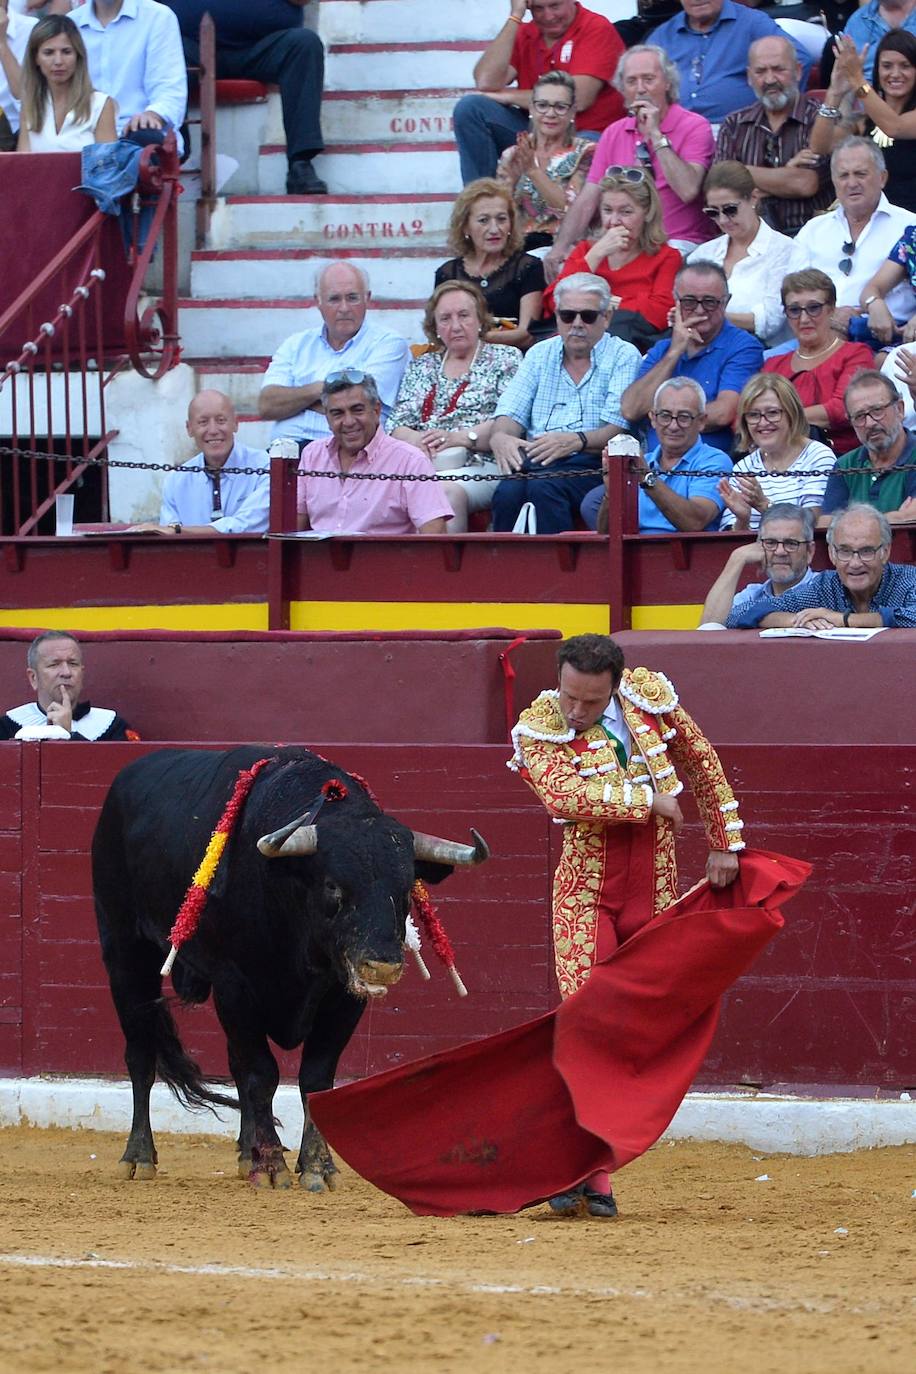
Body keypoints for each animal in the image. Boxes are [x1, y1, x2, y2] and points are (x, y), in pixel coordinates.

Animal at [93, 747, 491, 1187]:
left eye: (405, 890)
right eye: (333, 885)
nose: (382, 965)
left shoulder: (343, 996)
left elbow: (313, 1078)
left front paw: (316, 1166)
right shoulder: (235, 987)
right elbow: (262, 1074)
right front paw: (271, 1166)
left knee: (233, 1064)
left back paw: (244, 1154)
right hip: (124, 952)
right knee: (141, 1056)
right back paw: (139, 1157)